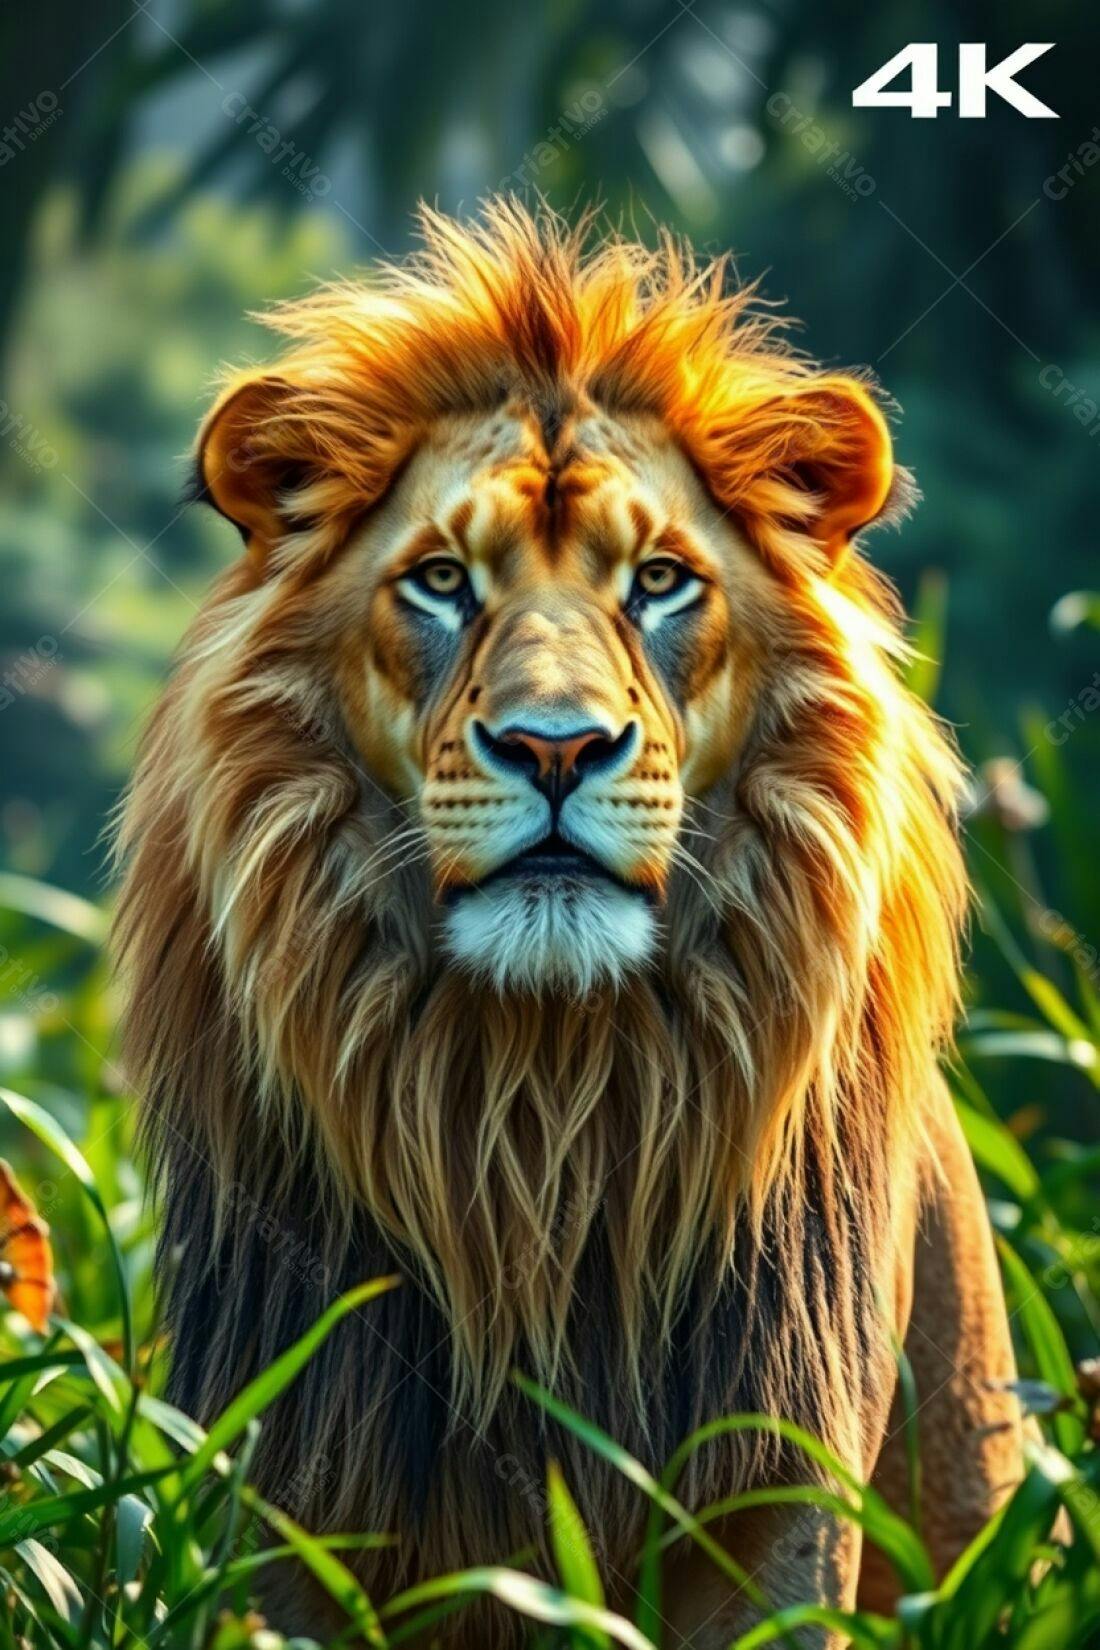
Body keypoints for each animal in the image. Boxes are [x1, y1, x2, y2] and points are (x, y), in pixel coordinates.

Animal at [113, 201, 1023, 1646]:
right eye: (441, 580)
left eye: (658, 581)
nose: (555, 746)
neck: (539, 1112)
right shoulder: (289, 1478)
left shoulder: (770, 1495)